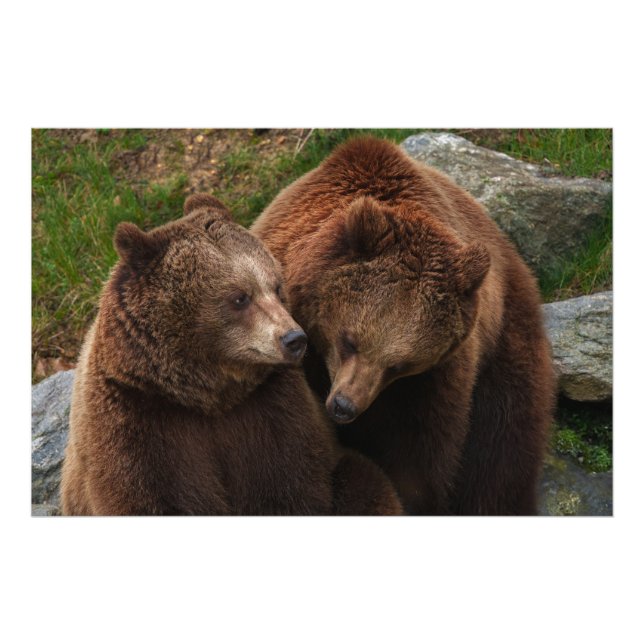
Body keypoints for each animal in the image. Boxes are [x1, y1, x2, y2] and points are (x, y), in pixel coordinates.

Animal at [60, 193, 402, 515]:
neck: (209, 395)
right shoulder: (136, 422)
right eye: (239, 297)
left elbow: (291, 483)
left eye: (276, 286)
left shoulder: (273, 409)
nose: (294, 339)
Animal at [251, 136, 556, 515]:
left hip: (505, 344)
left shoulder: (431, 383)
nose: (344, 406)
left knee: (503, 447)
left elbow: (419, 460)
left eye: (399, 365)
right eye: (349, 341)